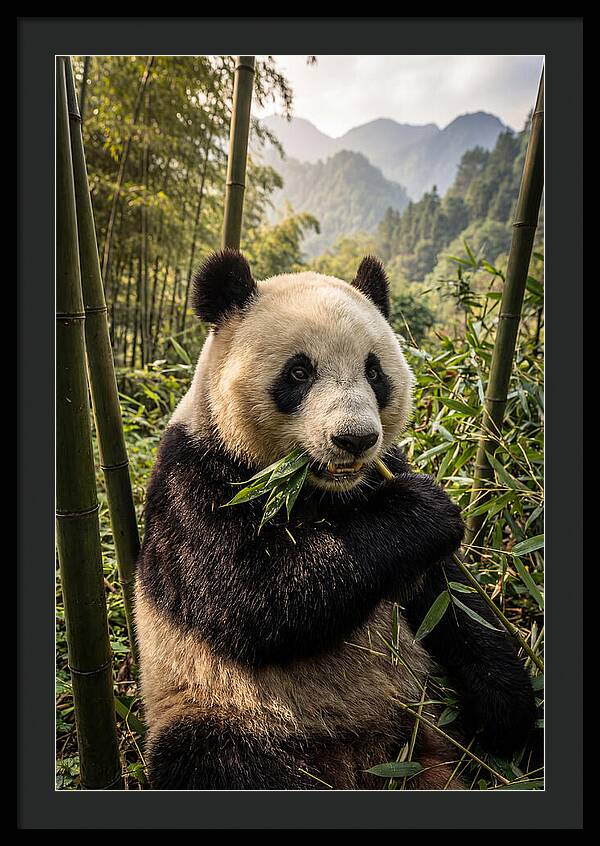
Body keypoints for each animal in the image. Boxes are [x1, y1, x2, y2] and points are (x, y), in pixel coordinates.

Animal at [134, 249, 536, 790]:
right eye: (299, 373)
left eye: (374, 371)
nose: (355, 438)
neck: (318, 489)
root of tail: (363, 759)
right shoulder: (196, 478)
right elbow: (251, 597)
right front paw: (423, 510)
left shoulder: (384, 475)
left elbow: (452, 602)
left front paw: (508, 711)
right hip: (223, 707)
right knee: (214, 760)